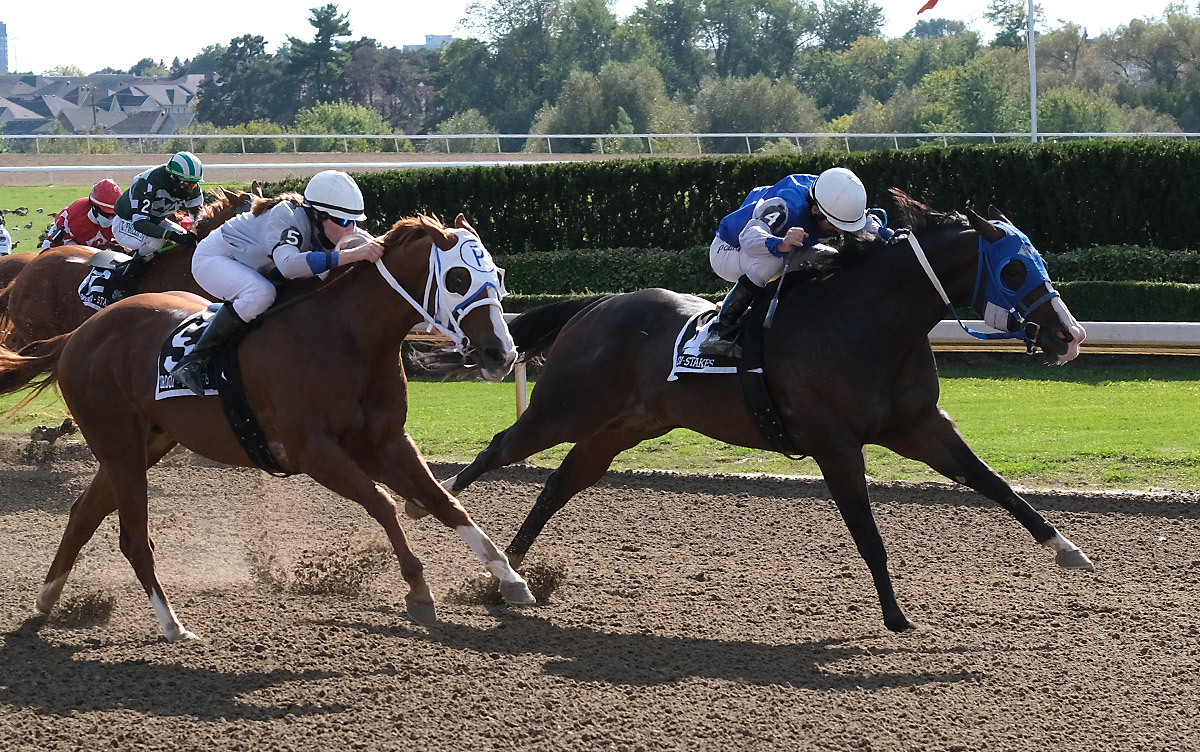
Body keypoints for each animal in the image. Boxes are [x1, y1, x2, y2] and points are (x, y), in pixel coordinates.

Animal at [0, 212, 535, 642]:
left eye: (497, 274)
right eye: (459, 277)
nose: (501, 354)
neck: (346, 335)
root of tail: (80, 334)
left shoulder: (385, 442)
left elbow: (444, 501)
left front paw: (510, 578)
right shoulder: (312, 451)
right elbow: (384, 505)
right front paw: (420, 591)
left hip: (145, 443)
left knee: (83, 515)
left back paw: (46, 602)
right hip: (119, 446)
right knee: (132, 538)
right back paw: (172, 625)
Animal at [424, 189, 1099, 633]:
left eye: (1037, 261)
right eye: (1014, 267)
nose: (1069, 336)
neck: (872, 322)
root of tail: (595, 305)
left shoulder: (920, 426)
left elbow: (993, 483)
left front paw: (1067, 548)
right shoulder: (835, 444)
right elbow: (869, 534)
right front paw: (896, 616)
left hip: (619, 429)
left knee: (559, 484)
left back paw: (509, 577)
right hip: (565, 408)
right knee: (499, 448)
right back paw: (436, 518)